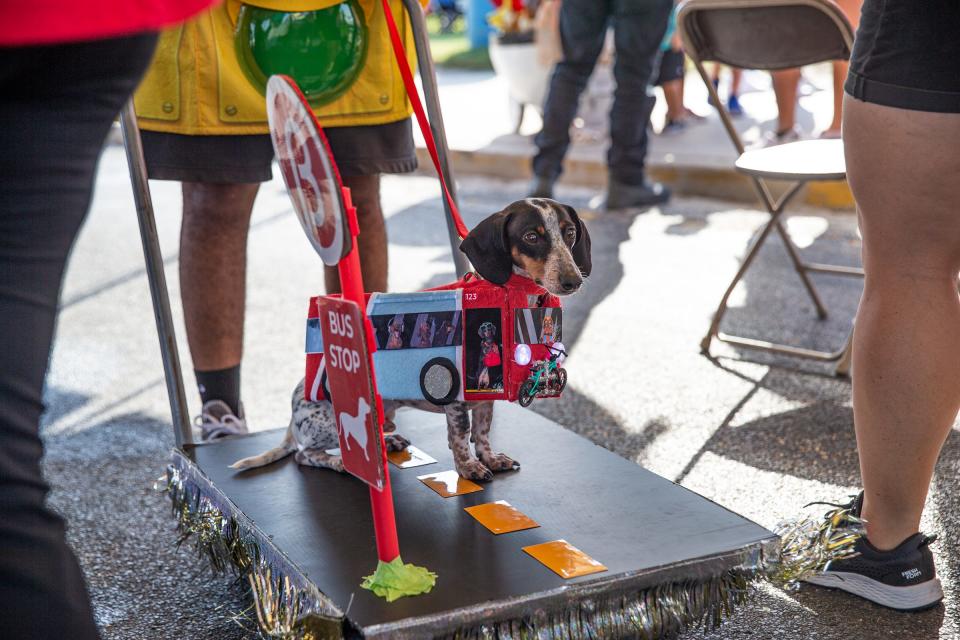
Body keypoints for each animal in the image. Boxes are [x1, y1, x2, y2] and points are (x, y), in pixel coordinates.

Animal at [234, 198, 592, 482]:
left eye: (569, 233)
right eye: (531, 236)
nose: (573, 281)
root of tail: (293, 409)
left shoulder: (485, 398)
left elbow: (483, 432)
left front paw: (490, 458)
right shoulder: (456, 399)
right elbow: (461, 435)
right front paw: (469, 468)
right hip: (332, 425)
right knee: (304, 454)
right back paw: (338, 462)